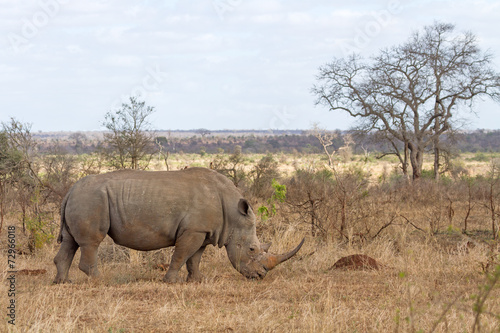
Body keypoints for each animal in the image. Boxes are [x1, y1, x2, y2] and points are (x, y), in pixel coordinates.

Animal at [53, 167, 304, 282]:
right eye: (252, 249)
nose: (260, 276)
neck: (234, 215)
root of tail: (71, 190)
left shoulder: (203, 231)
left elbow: (195, 258)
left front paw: (197, 280)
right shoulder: (193, 230)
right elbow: (181, 255)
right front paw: (171, 281)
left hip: (82, 198)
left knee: (70, 241)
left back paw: (64, 283)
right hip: (91, 199)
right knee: (91, 242)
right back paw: (100, 280)